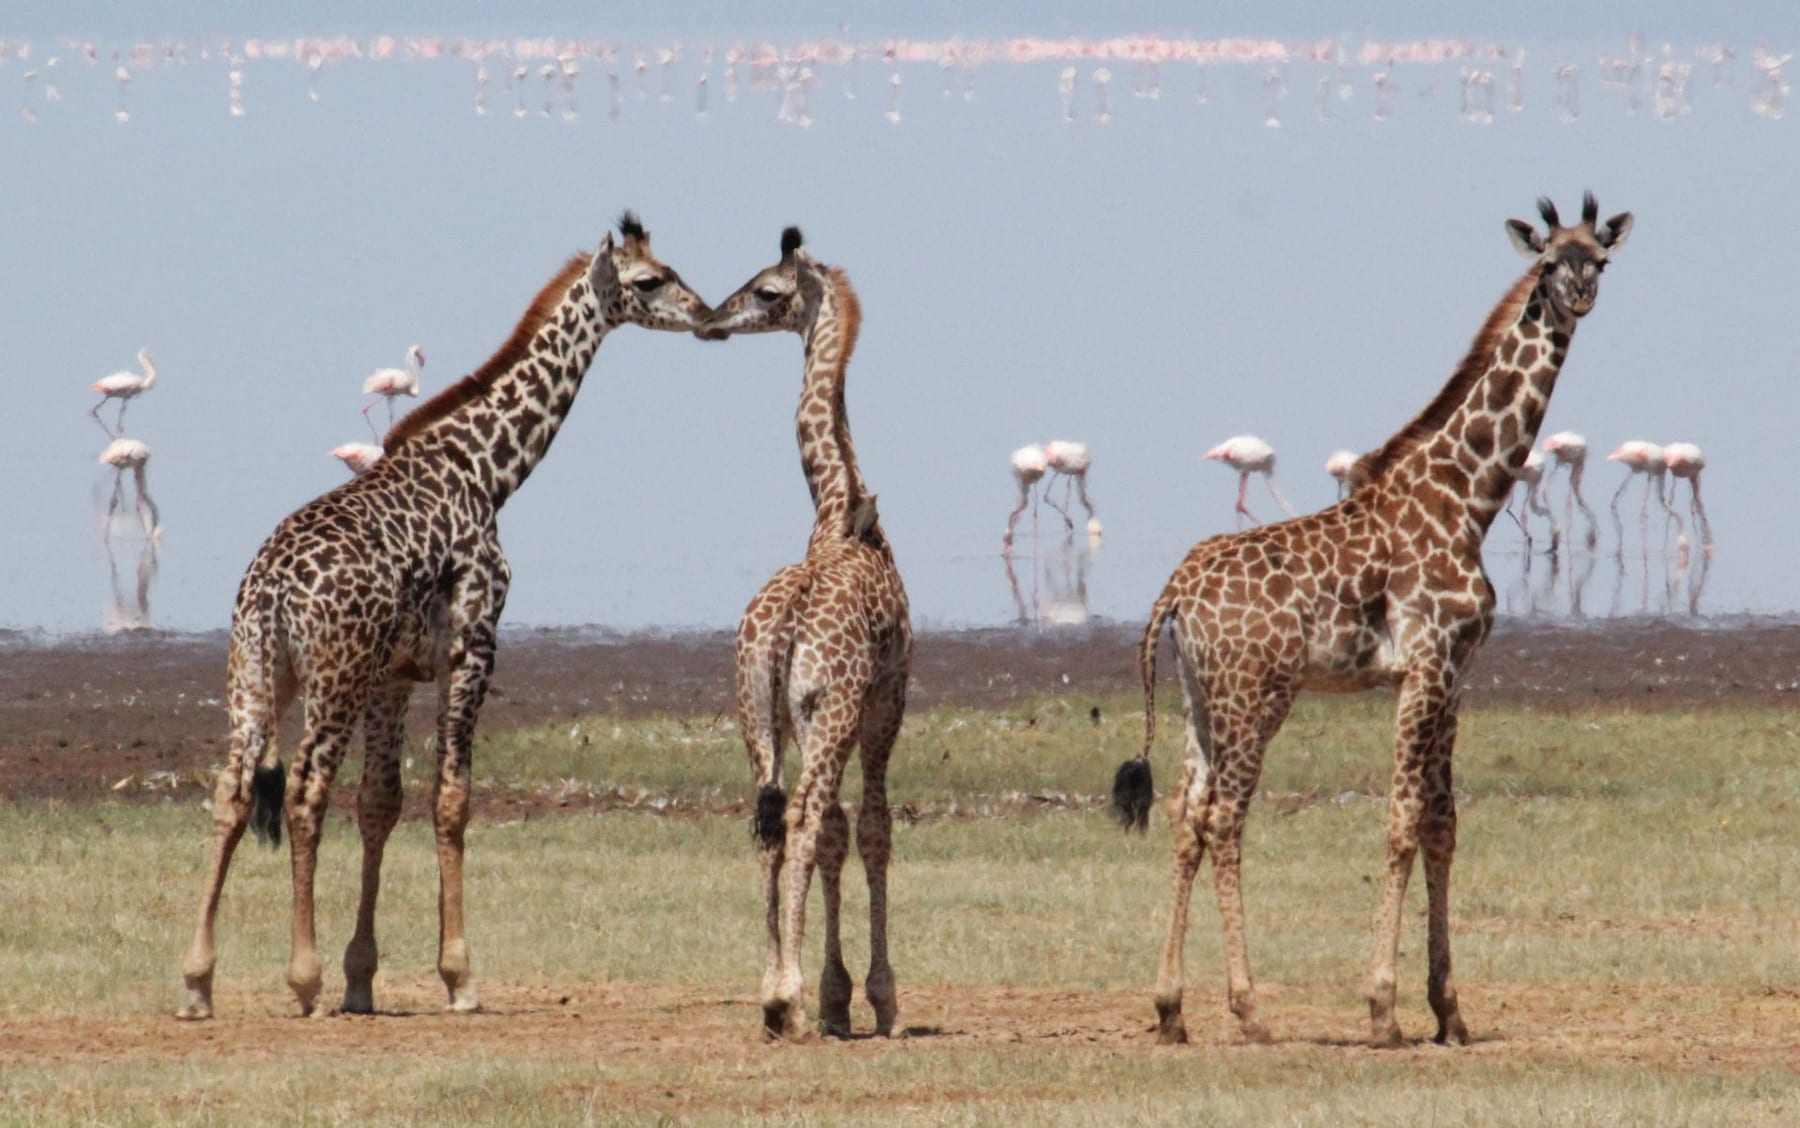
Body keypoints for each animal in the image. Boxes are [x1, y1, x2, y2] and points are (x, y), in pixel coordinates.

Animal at [175, 213, 712, 1020]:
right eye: (650, 281)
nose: (708, 313)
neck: (487, 471)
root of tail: (270, 591)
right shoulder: (473, 647)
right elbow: (452, 799)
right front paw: (458, 976)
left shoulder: (395, 674)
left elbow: (381, 803)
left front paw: (362, 977)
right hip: (330, 678)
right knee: (303, 790)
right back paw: (300, 980)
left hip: (258, 674)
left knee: (231, 791)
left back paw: (198, 981)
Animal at [700, 227, 912, 1041]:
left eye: (766, 290)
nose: (708, 319)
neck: (842, 507)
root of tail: (787, 625)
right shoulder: (887, 701)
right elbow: (871, 828)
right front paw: (876, 998)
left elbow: (834, 837)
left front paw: (833, 996)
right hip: (831, 713)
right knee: (801, 813)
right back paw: (785, 999)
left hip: (755, 712)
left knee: (769, 819)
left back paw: (771, 996)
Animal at [1113, 193, 1631, 1048]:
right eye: (1550, 260)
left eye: (1602, 258)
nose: (1580, 295)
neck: (1468, 500)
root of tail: (1176, 591)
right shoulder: (1426, 666)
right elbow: (1400, 822)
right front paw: (1384, 1008)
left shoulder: (1454, 677)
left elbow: (1443, 824)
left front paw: (1449, 1010)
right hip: (1256, 696)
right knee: (1225, 820)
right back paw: (1250, 1009)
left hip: (1198, 700)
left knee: (1187, 819)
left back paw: (1170, 1009)